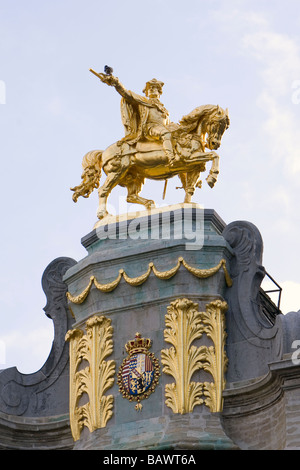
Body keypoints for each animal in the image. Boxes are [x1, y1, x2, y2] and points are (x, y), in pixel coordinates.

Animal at [71, 103, 230, 219]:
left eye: (225, 127)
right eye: (216, 123)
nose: (215, 143)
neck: (188, 135)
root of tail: (103, 153)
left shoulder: (193, 168)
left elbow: (189, 189)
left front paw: (187, 204)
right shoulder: (188, 158)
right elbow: (214, 155)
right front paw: (212, 178)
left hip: (134, 176)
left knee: (131, 196)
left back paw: (149, 205)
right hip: (118, 171)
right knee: (103, 190)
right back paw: (103, 215)